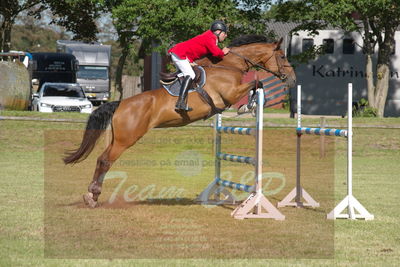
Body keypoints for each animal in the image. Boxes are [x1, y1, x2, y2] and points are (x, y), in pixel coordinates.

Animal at [64, 34, 296, 208]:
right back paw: (92, 196)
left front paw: (249, 105)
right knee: (105, 160)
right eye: (282, 56)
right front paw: (248, 106)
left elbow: (256, 85)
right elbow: (257, 83)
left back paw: (92, 196)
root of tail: (121, 103)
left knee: (101, 159)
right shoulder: (230, 93)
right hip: (126, 139)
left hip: (118, 138)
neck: (230, 66)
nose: (293, 80)